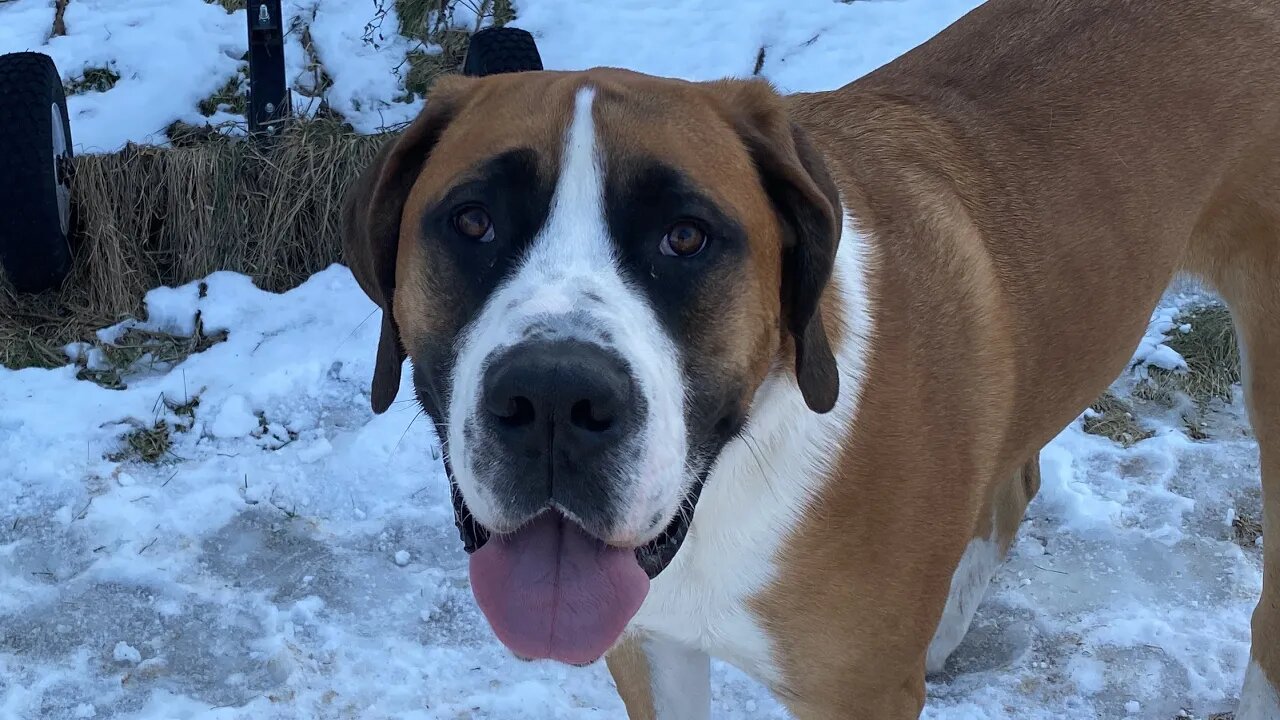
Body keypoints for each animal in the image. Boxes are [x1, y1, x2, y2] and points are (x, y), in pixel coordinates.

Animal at [340, 2, 1280, 712]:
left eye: (686, 237)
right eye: (472, 221)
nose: (553, 399)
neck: (733, 479)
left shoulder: (852, 695)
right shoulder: (649, 645)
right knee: (1014, 480)